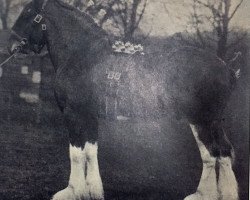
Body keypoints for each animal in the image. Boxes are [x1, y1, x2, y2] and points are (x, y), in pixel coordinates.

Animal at [9, 0, 240, 200]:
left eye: (28, 13)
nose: (12, 46)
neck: (81, 53)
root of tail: (226, 68)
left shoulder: (73, 114)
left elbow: (75, 153)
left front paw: (72, 191)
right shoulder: (89, 116)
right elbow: (91, 151)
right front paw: (93, 191)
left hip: (202, 120)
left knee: (212, 154)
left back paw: (204, 194)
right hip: (210, 122)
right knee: (221, 153)